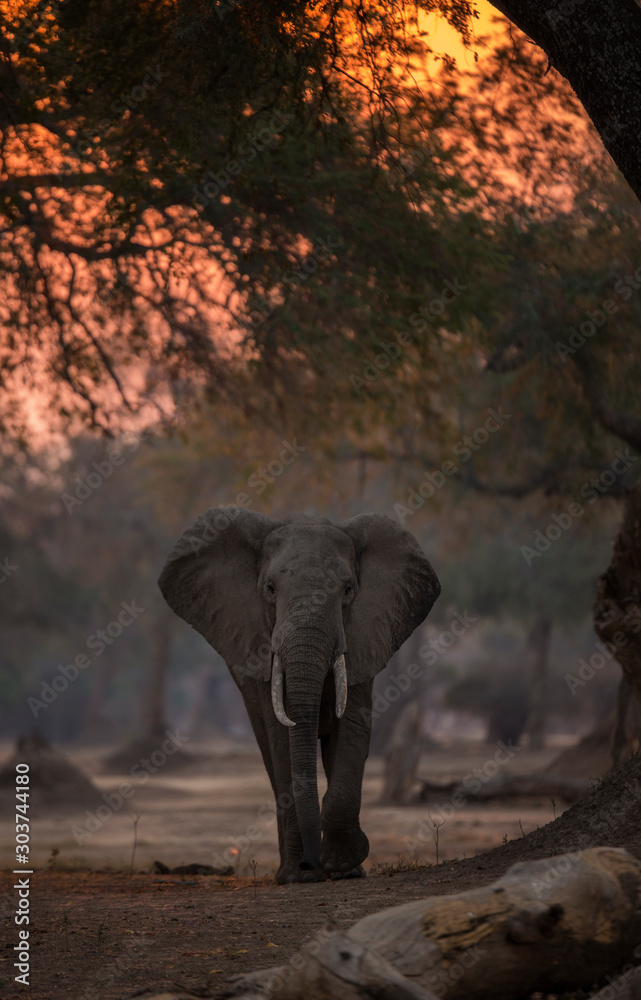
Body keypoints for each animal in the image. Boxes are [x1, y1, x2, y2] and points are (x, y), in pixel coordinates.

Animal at [158, 507, 440, 884]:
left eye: (348, 590)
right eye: (270, 589)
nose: (311, 863)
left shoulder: (363, 636)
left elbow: (351, 728)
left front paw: (344, 867)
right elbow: (282, 739)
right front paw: (303, 876)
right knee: (270, 753)